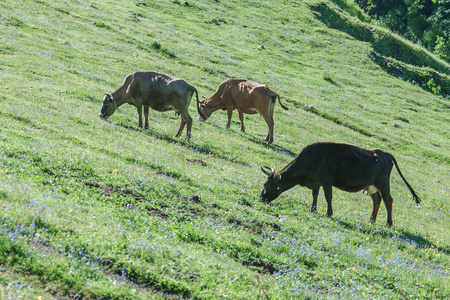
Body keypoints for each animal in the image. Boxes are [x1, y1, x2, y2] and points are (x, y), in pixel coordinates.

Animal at [260, 142, 422, 226]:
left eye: (266, 186)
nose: (261, 198)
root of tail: (385, 154)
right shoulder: (316, 182)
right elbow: (315, 195)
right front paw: (313, 209)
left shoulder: (326, 181)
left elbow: (328, 197)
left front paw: (329, 213)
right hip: (372, 186)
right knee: (377, 200)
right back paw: (371, 220)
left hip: (383, 184)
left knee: (388, 200)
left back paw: (388, 223)